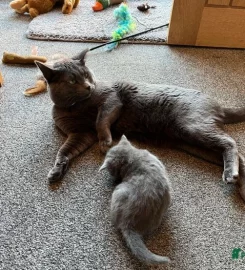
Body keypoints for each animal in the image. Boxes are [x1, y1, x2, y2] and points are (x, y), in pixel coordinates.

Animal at [34, 48, 245, 200]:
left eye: (87, 75)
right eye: (72, 80)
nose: (88, 86)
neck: (75, 107)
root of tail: (218, 105)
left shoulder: (112, 99)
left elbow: (101, 119)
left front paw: (105, 143)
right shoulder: (80, 134)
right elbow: (64, 151)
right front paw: (56, 171)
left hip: (192, 127)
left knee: (230, 142)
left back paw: (230, 175)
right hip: (196, 144)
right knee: (239, 156)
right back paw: (239, 185)